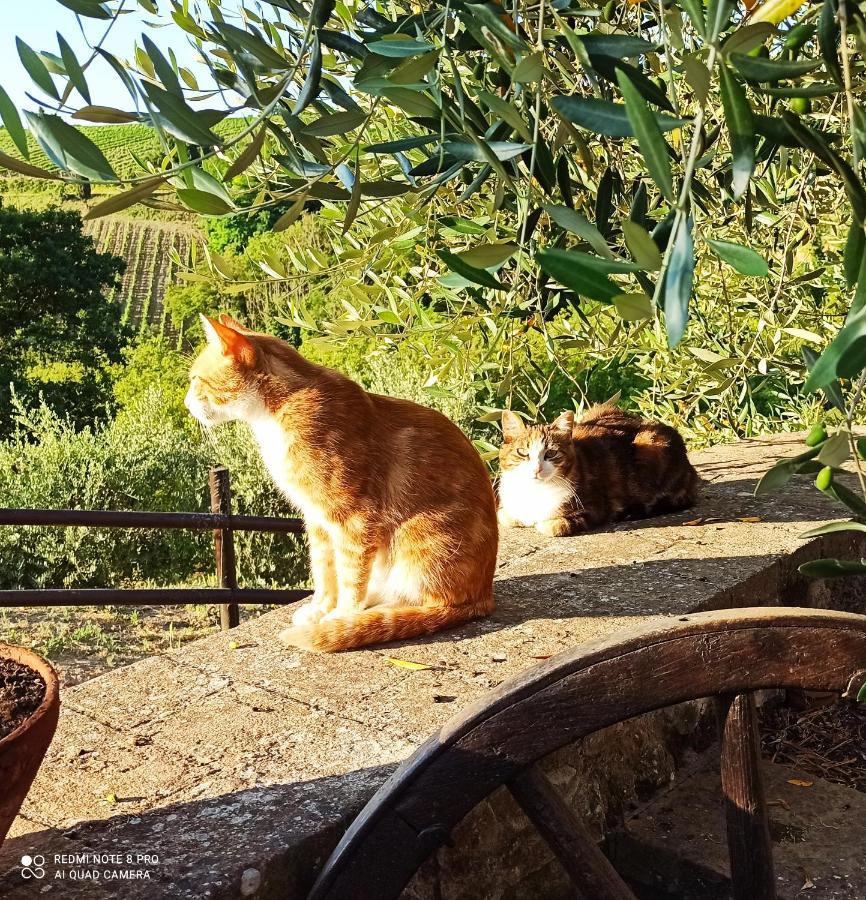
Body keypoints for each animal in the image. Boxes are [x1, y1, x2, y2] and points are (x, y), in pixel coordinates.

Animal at [186, 312, 496, 652]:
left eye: (196, 380)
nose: (187, 404)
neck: (280, 411)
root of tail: (484, 597)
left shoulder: (354, 518)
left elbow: (350, 575)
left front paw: (342, 616)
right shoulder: (316, 518)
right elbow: (324, 570)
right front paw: (321, 608)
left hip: (422, 535)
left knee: (430, 604)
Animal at [492, 406, 696, 536]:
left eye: (551, 453)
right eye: (522, 452)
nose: (536, 469)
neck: (533, 492)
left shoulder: (594, 508)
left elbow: (553, 526)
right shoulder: (506, 510)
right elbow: (503, 516)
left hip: (651, 442)